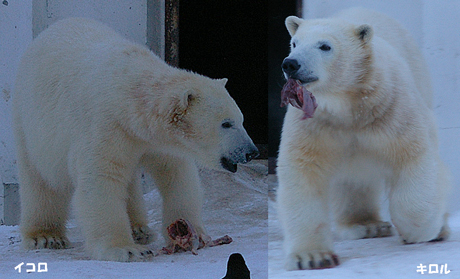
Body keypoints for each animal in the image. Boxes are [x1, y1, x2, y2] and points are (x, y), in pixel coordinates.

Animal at [13, 17, 258, 262]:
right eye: (226, 123)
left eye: (241, 119)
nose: (251, 151)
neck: (130, 99)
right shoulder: (105, 125)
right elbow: (101, 179)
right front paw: (125, 249)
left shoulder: (156, 141)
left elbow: (177, 176)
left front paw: (192, 232)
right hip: (30, 123)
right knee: (40, 180)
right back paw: (46, 236)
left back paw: (139, 229)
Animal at [276, 7, 450, 272]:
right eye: (294, 43)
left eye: (325, 46)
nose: (291, 63)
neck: (349, 106)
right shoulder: (314, 124)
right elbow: (303, 172)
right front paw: (312, 257)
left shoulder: (391, 108)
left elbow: (415, 156)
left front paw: (422, 231)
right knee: (353, 181)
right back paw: (366, 225)